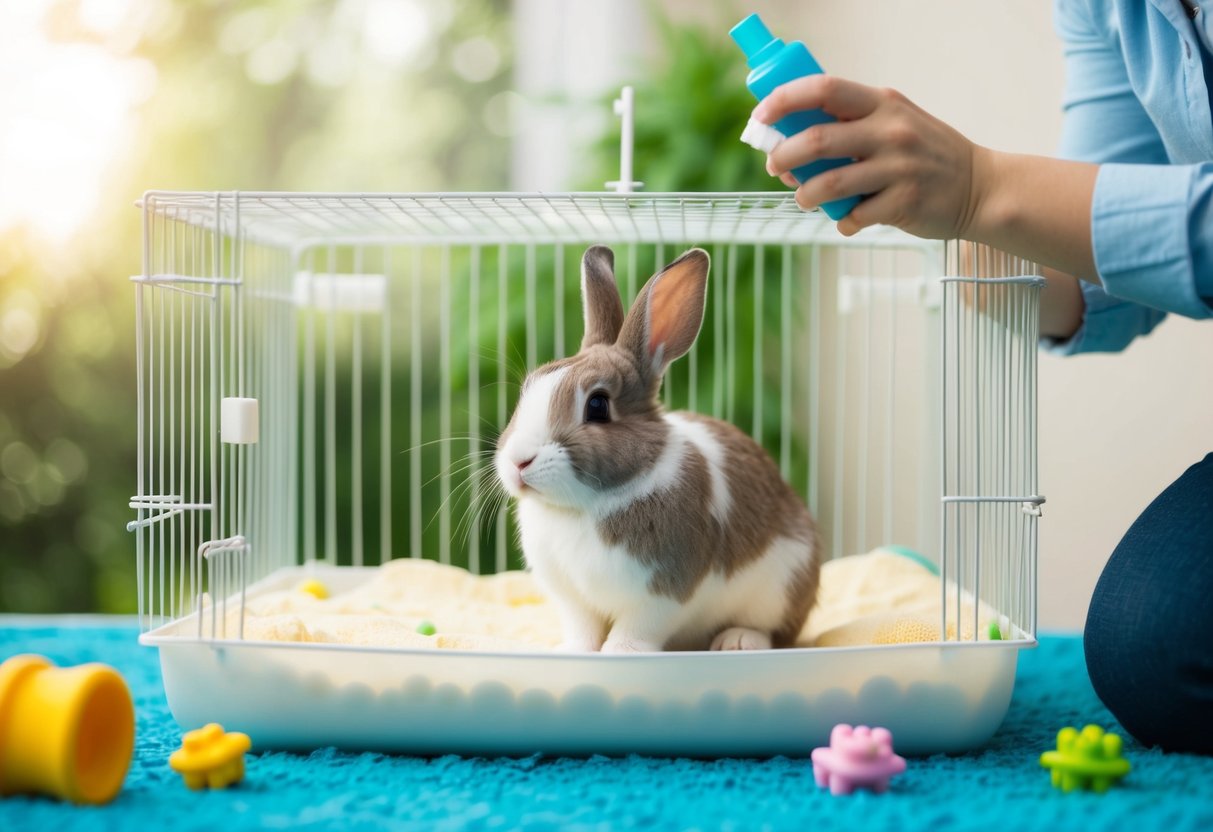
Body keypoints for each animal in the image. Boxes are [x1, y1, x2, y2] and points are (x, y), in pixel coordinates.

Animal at [494, 244, 824, 654]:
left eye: (598, 405)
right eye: (527, 390)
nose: (517, 462)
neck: (581, 508)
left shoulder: (662, 590)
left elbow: (636, 628)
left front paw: (621, 653)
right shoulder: (573, 599)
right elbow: (583, 628)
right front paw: (572, 651)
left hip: (783, 585)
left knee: (776, 631)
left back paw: (737, 641)